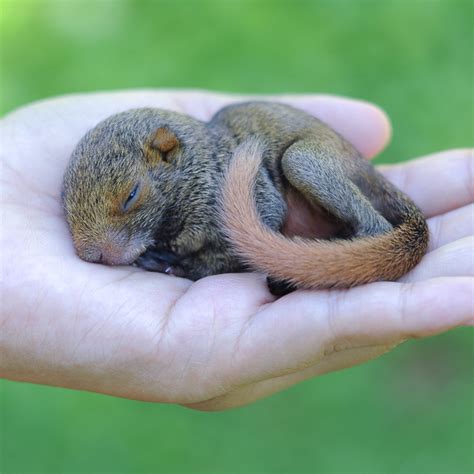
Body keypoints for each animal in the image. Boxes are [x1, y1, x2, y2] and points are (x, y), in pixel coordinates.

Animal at [61, 102, 428, 294]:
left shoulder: (236, 187)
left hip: (304, 161)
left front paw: (179, 265)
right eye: (65, 204)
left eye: (131, 195)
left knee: (375, 226)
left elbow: (238, 246)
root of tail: (368, 170)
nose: (94, 255)